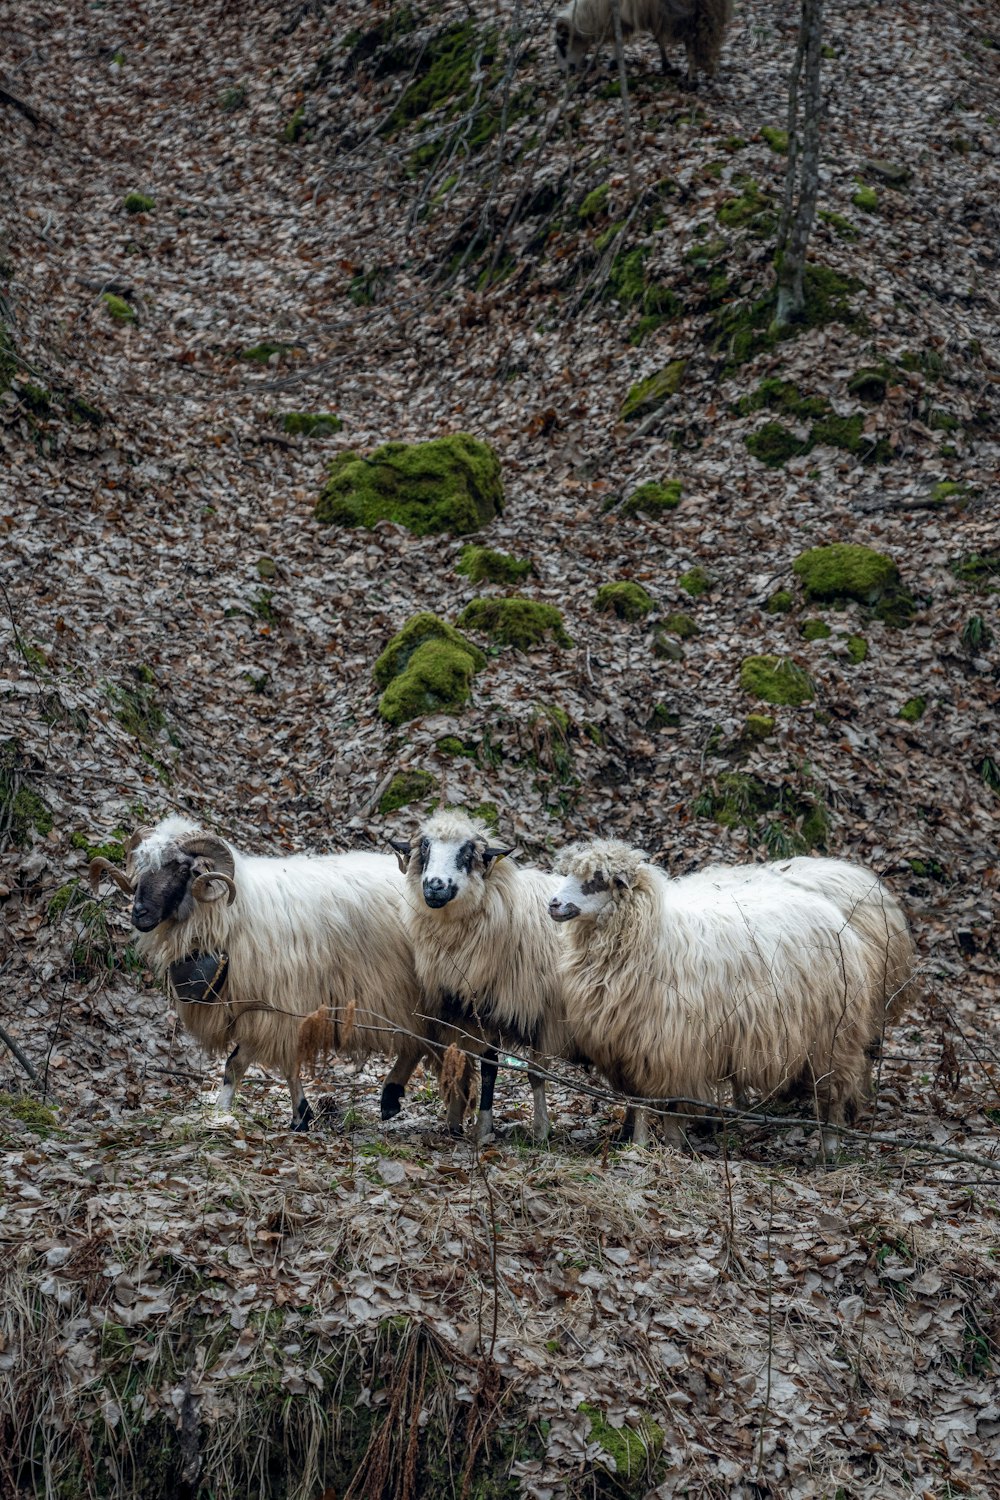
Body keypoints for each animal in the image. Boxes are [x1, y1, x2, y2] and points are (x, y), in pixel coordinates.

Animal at [88, 822, 440, 1128]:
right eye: (141, 863)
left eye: (180, 868)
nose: (139, 914)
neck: (231, 914)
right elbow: (254, 1065)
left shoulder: (276, 1006)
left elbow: (252, 1064)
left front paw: (283, 1116)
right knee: (417, 1043)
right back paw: (391, 1099)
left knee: (417, 1042)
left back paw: (392, 1096)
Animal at [389, 816, 578, 1140]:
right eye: (425, 849)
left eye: (467, 853)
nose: (434, 886)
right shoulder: (470, 1011)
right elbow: (479, 1065)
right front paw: (470, 1124)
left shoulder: (533, 1012)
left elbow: (531, 1073)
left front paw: (538, 1129)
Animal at [548, 840, 905, 1140]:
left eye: (597, 879)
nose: (552, 903)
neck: (653, 938)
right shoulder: (627, 1046)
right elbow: (636, 1102)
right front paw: (629, 1138)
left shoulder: (673, 1049)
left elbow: (669, 1106)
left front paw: (666, 1145)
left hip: (835, 1030)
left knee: (843, 1080)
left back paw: (834, 1136)